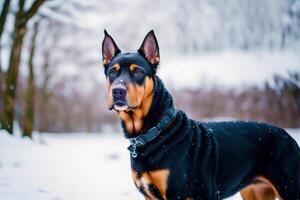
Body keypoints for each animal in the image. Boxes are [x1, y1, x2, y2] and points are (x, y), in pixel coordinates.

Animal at [101, 30, 300, 200]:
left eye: (138, 72)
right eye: (112, 72)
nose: (118, 91)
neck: (154, 130)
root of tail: (288, 136)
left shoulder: (178, 193)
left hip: (289, 187)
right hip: (256, 192)